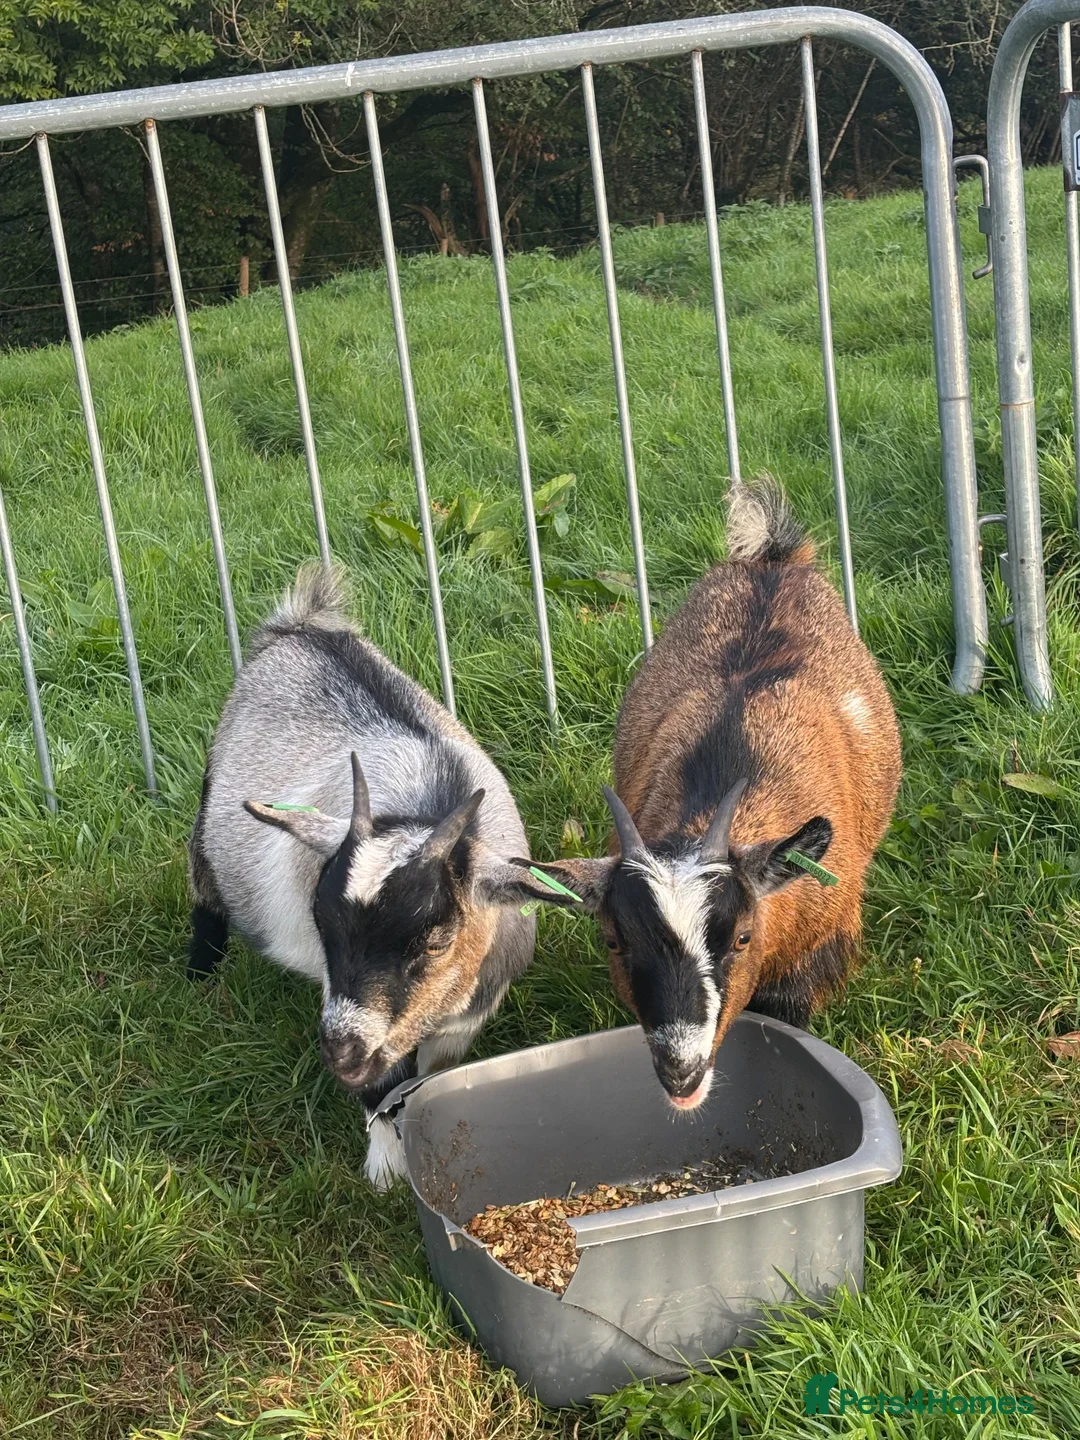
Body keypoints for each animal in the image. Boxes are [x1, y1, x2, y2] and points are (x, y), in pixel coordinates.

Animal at [187, 567, 559, 1186]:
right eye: (320, 922)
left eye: (436, 940)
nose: (341, 1053)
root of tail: (303, 627)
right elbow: (385, 1088)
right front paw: (388, 1170)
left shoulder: (461, 1022)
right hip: (208, 807)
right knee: (203, 887)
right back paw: (200, 971)